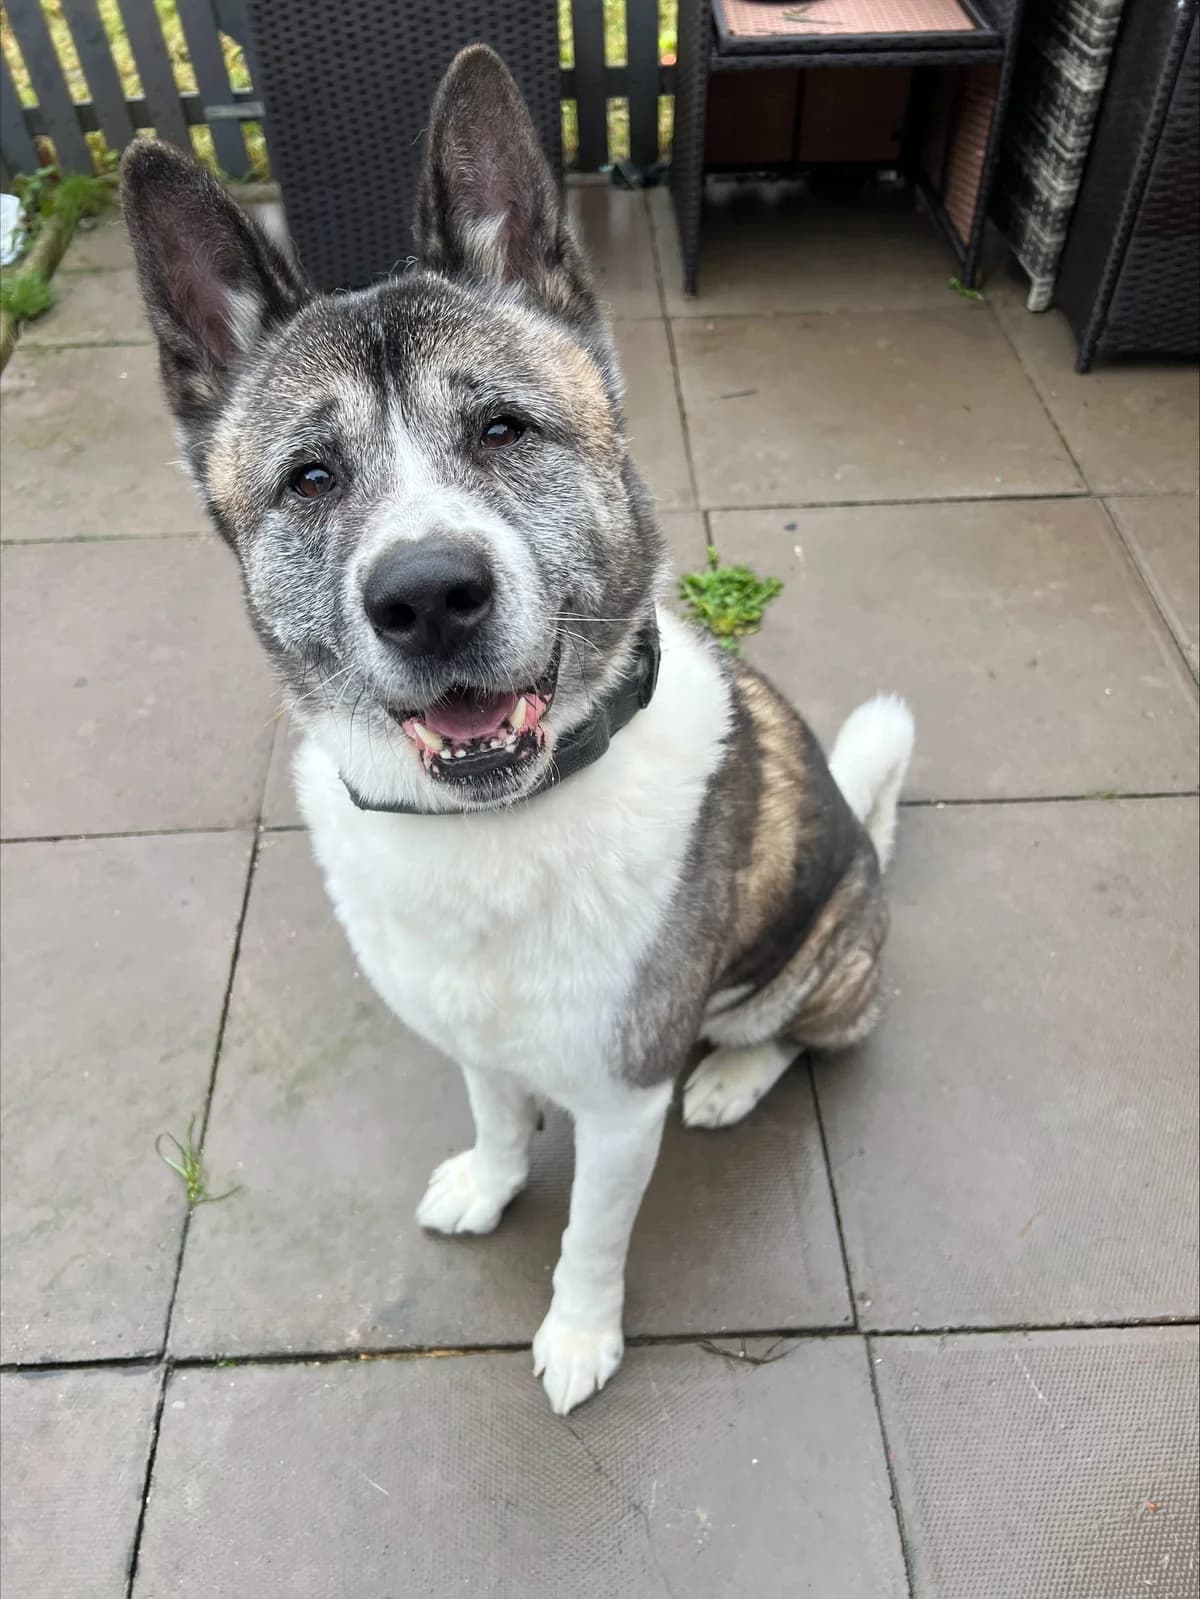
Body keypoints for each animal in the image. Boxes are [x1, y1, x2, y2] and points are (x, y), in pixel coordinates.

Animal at [122, 45, 913, 1415]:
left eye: (503, 428)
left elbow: (591, 1235)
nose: (429, 595)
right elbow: (497, 1119)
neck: (496, 825)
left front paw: (580, 1337)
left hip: (820, 961)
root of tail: (868, 858)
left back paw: (732, 1077)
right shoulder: (473, 1042)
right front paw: (489, 1187)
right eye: (310, 479)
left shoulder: (621, 1105)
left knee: (802, 1035)